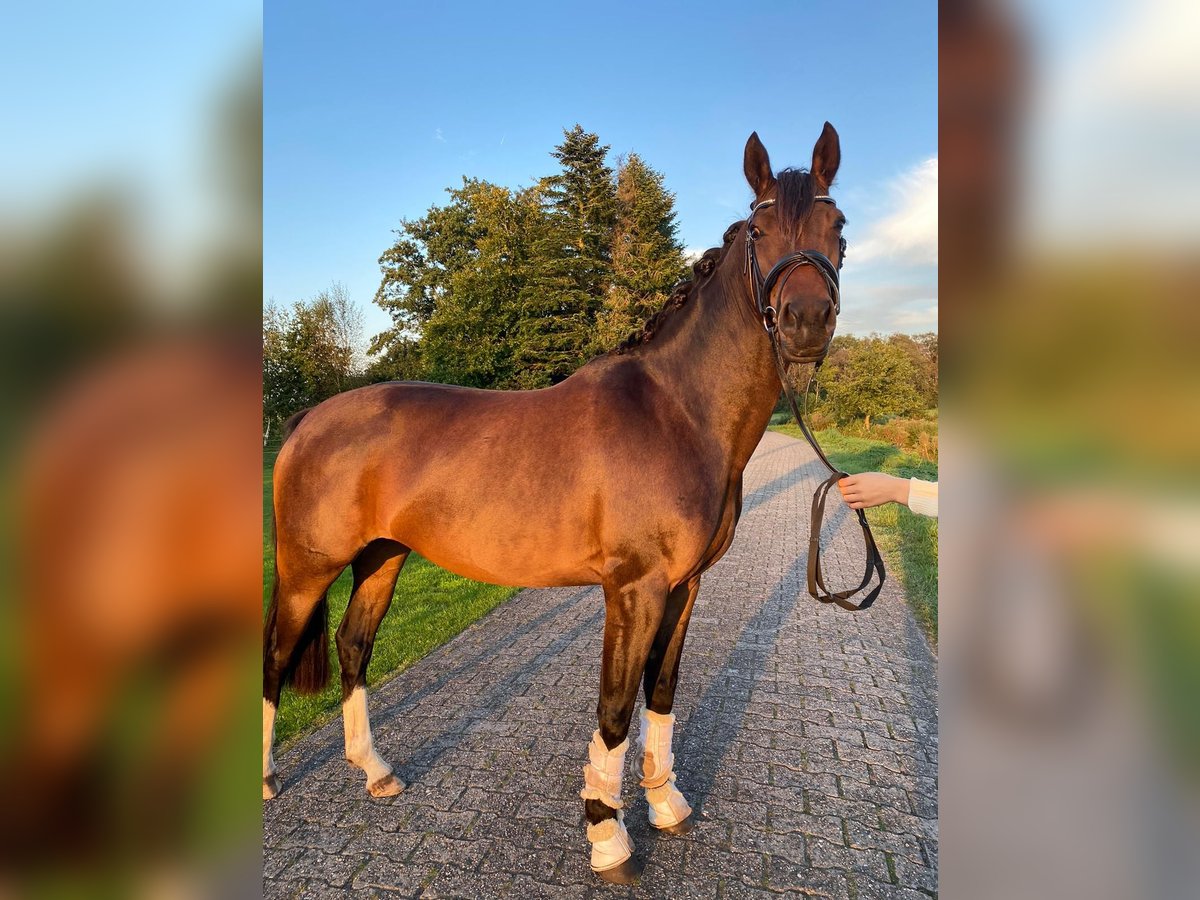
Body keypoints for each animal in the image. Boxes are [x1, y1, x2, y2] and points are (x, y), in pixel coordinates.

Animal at [265, 123, 844, 883]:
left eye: (838, 226)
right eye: (760, 227)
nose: (807, 320)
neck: (678, 412)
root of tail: (307, 419)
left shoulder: (684, 586)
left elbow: (662, 691)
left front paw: (666, 804)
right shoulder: (633, 589)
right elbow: (615, 707)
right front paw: (607, 835)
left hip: (382, 559)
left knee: (353, 647)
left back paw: (376, 771)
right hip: (307, 567)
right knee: (275, 658)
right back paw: (267, 781)